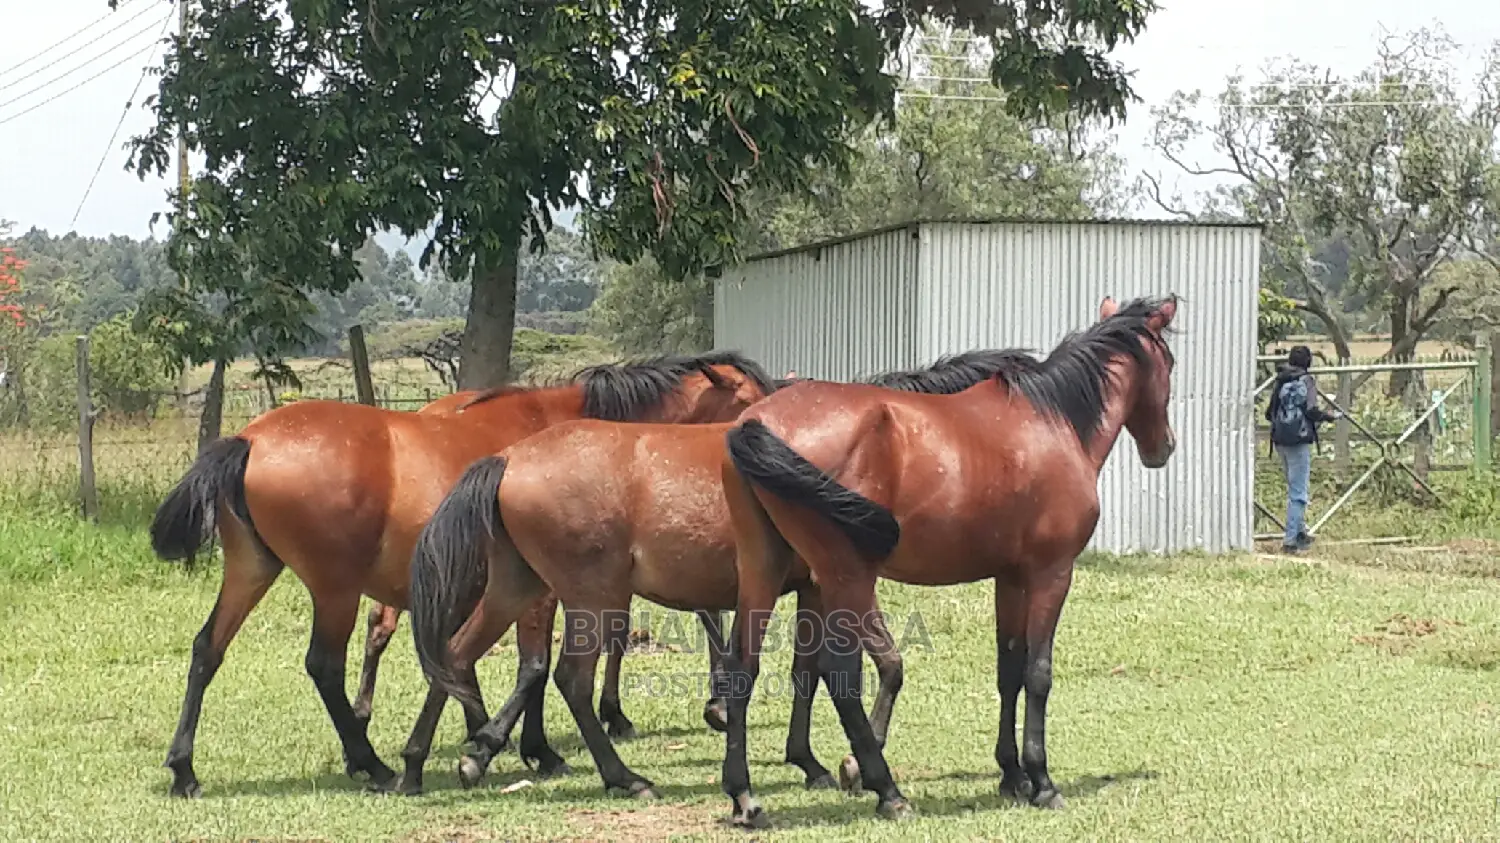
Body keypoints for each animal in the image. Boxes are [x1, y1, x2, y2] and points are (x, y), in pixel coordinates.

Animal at [147, 350, 776, 798]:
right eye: (747, 396)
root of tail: (249, 439)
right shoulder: (546, 591)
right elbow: (536, 668)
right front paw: (527, 748)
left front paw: (504, 743)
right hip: (336, 589)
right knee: (324, 666)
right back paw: (373, 762)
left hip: (253, 570)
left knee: (207, 649)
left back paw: (185, 770)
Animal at [401, 349, 1043, 798]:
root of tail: (510, 458)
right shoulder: (826, 585)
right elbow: (820, 670)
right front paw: (832, 762)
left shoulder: (805, 590)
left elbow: (803, 670)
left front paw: (806, 758)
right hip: (590, 597)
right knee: (566, 679)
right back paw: (620, 776)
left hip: (519, 587)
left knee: (455, 655)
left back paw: (434, 761)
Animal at [715, 294, 1179, 826]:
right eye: (1170, 362)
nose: (1164, 447)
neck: (1054, 421)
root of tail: (757, 422)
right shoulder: (1051, 573)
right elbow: (1038, 674)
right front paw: (1041, 781)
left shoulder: (1010, 578)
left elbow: (1008, 669)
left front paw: (1012, 775)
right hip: (845, 577)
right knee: (843, 676)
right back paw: (887, 790)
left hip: (763, 568)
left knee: (743, 668)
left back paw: (744, 796)